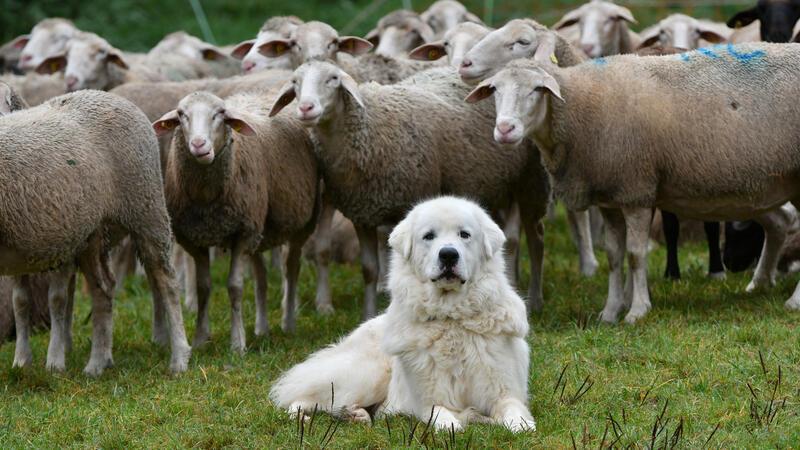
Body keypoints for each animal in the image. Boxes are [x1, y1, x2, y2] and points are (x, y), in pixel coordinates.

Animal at [0, 89, 191, 374]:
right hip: (92, 235)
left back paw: (179, 357)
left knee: (166, 282)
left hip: (146, 210)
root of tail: (110, 96)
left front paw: (53, 362)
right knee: (104, 288)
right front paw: (22, 361)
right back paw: (98, 363)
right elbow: (20, 302)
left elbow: (55, 299)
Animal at [153, 89, 318, 346]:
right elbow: (203, 287)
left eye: (220, 114)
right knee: (261, 277)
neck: (207, 201)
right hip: (260, 230)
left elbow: (235, 286)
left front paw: (237, 342)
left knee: (291, 268)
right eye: (181, 114)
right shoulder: (196, 238)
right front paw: (200, 338)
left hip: (302, 222)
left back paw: (288, 322)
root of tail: (261, 92)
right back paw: (262, 328)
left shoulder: (242, 233)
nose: (199, 145)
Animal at [268, 61, 552, 318]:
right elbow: (369, 269)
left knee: (531, 238)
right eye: (295, 83)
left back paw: (532, 299)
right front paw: (369, 314)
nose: (306, 108)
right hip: (495, 185)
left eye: (333, 79)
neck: (367, 132)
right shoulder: (362, 213)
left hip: (528, 181)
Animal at [270, 197, 536, 432]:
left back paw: (357, 416)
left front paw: (517, 425)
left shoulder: (503, 392)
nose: (448, 254)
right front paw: (456, 423)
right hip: (367, 374)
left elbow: (516, 416)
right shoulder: (428, 401)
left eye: (464, 234)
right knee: (304, 396)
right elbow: (444, 418)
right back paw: (307, 418)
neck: (451, 317)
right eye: (429, 236)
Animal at [466, 44, 800, 322]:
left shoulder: (636, 190)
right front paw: (610, 312)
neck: (581, 107)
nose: (505, 129)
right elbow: (614, 256)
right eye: (494, 89)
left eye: (538, 89)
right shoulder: (610, 197)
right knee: (781, 223)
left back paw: (793, 301)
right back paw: (761, 285)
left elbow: (636, 255)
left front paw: (637, 311)